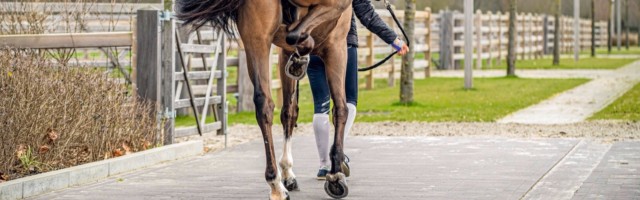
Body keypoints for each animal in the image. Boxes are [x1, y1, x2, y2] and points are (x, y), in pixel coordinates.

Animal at [176, 0, 350, 200]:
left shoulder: (284, 53)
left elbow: (289, 112)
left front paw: (288, 173)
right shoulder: (337, 44)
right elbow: (340, 109)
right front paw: (336, 174)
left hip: (256, 37)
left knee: (264, 104)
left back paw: (275, 184)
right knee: (294, 35)